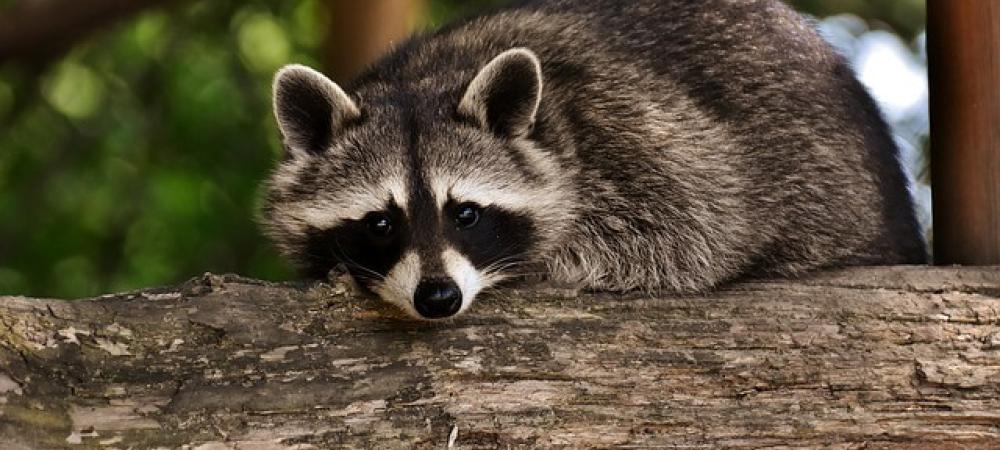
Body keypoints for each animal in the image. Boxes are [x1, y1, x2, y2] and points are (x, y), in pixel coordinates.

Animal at [260, 0, 928, 320]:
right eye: (380, 222)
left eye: (465, 213)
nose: (438, 298)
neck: (424, 79)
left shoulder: (642, 137)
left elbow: (699, 229)